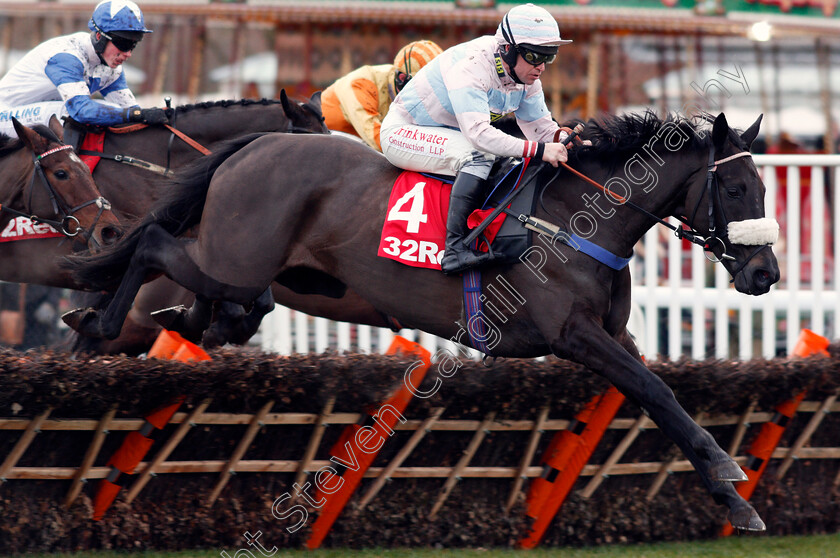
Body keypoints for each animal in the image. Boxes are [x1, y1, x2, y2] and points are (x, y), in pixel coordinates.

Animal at [65, 110, 780, 532]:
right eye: (736, 188)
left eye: (764, 186)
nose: (765, 274)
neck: (578, 216)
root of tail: (258, 142)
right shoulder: (571, 336)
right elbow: (657, 391)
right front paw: (729, 473)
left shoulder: (615, 334)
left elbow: (661, 398)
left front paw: (735, 501)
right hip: (236, 259)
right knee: (155, 243)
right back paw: (95, 323)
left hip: (256, 268)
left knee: (207, 297)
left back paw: (157, 320)